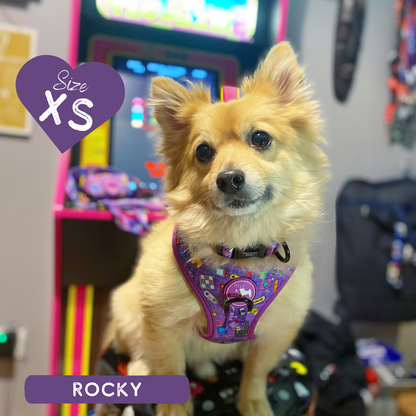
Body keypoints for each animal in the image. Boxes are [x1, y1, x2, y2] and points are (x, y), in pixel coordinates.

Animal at [104, 42, 328, 416]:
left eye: (260, 138)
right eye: (203, 152)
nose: (229, 178)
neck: (240, 249)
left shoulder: (276, 332)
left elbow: (256, 372)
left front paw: (253, 403)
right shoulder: (161, 323)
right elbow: (170, 368)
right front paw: (174, 408)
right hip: (129, 310)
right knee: (136, 352)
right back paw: (141, 369)